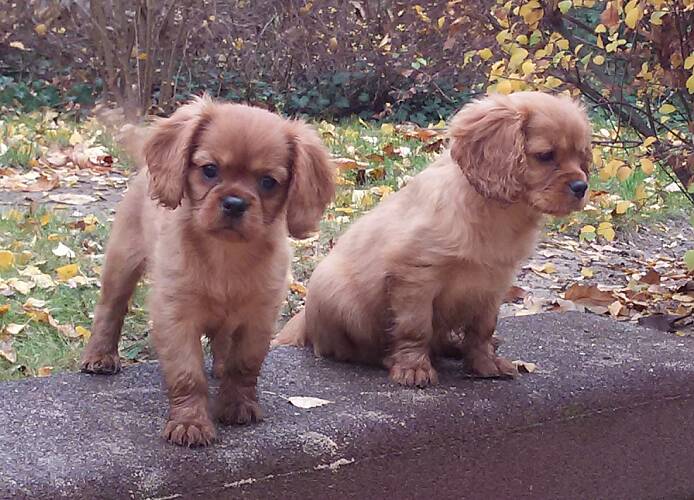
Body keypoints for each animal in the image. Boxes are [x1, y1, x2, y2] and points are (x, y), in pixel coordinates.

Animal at [81, 96, 335, 446]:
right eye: (210, 170)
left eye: (268, 182)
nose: (234, 203)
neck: (225, 253)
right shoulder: (175, 318)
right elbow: (188, 374)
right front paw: (190, 424)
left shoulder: (258, 319)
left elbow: (244, 366)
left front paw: (238, 405)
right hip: (122, 261)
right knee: (111, 308)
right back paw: (100, 355)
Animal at [273, 92, 592, 387]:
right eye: (545, 156)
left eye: (581, 157)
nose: (582, 187)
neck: (499, 210)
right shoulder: (416, 276)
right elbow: (415, 328)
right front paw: (413, 368)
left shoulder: (494, 283)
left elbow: (483, 328)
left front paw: (485, 363)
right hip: (339, 297)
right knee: (349, 349)